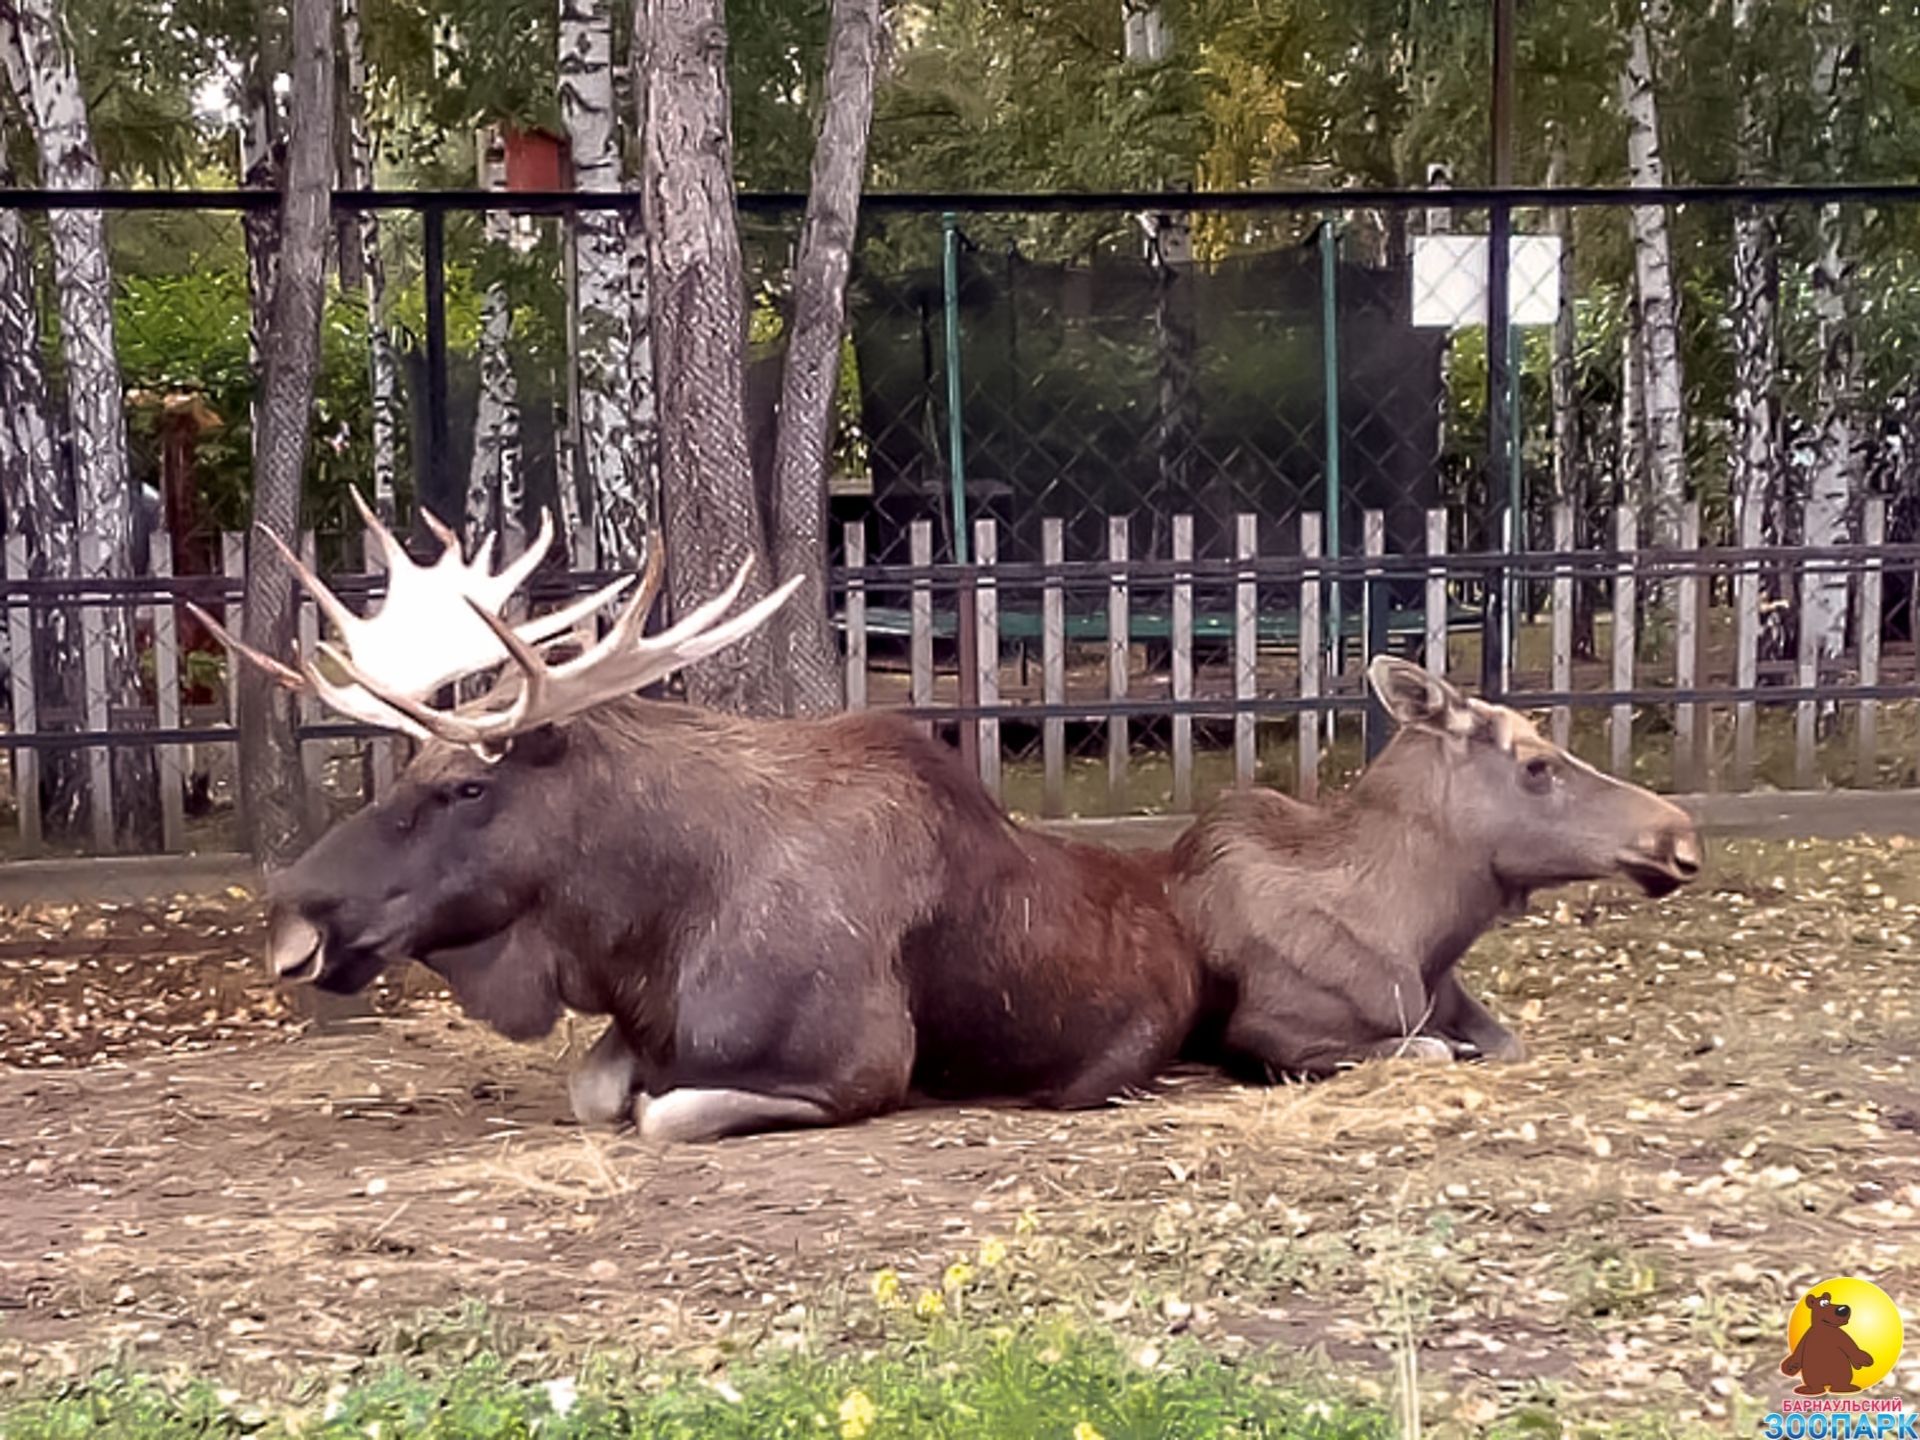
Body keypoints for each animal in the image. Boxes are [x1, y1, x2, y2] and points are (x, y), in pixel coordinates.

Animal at [202, 506, 1205, 1152]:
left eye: (468, 788)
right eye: (411, 771)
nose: (293, 921)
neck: (646, 924)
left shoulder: (855, 1067)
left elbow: (662, 1112)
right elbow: (596, 1090)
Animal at [1159, 656, 1704, 1082]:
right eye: (1536, 766)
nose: (1681, 838)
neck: (1425, 937)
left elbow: (1508, 1043)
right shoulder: (1269, 1032)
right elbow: (1429, 1048)